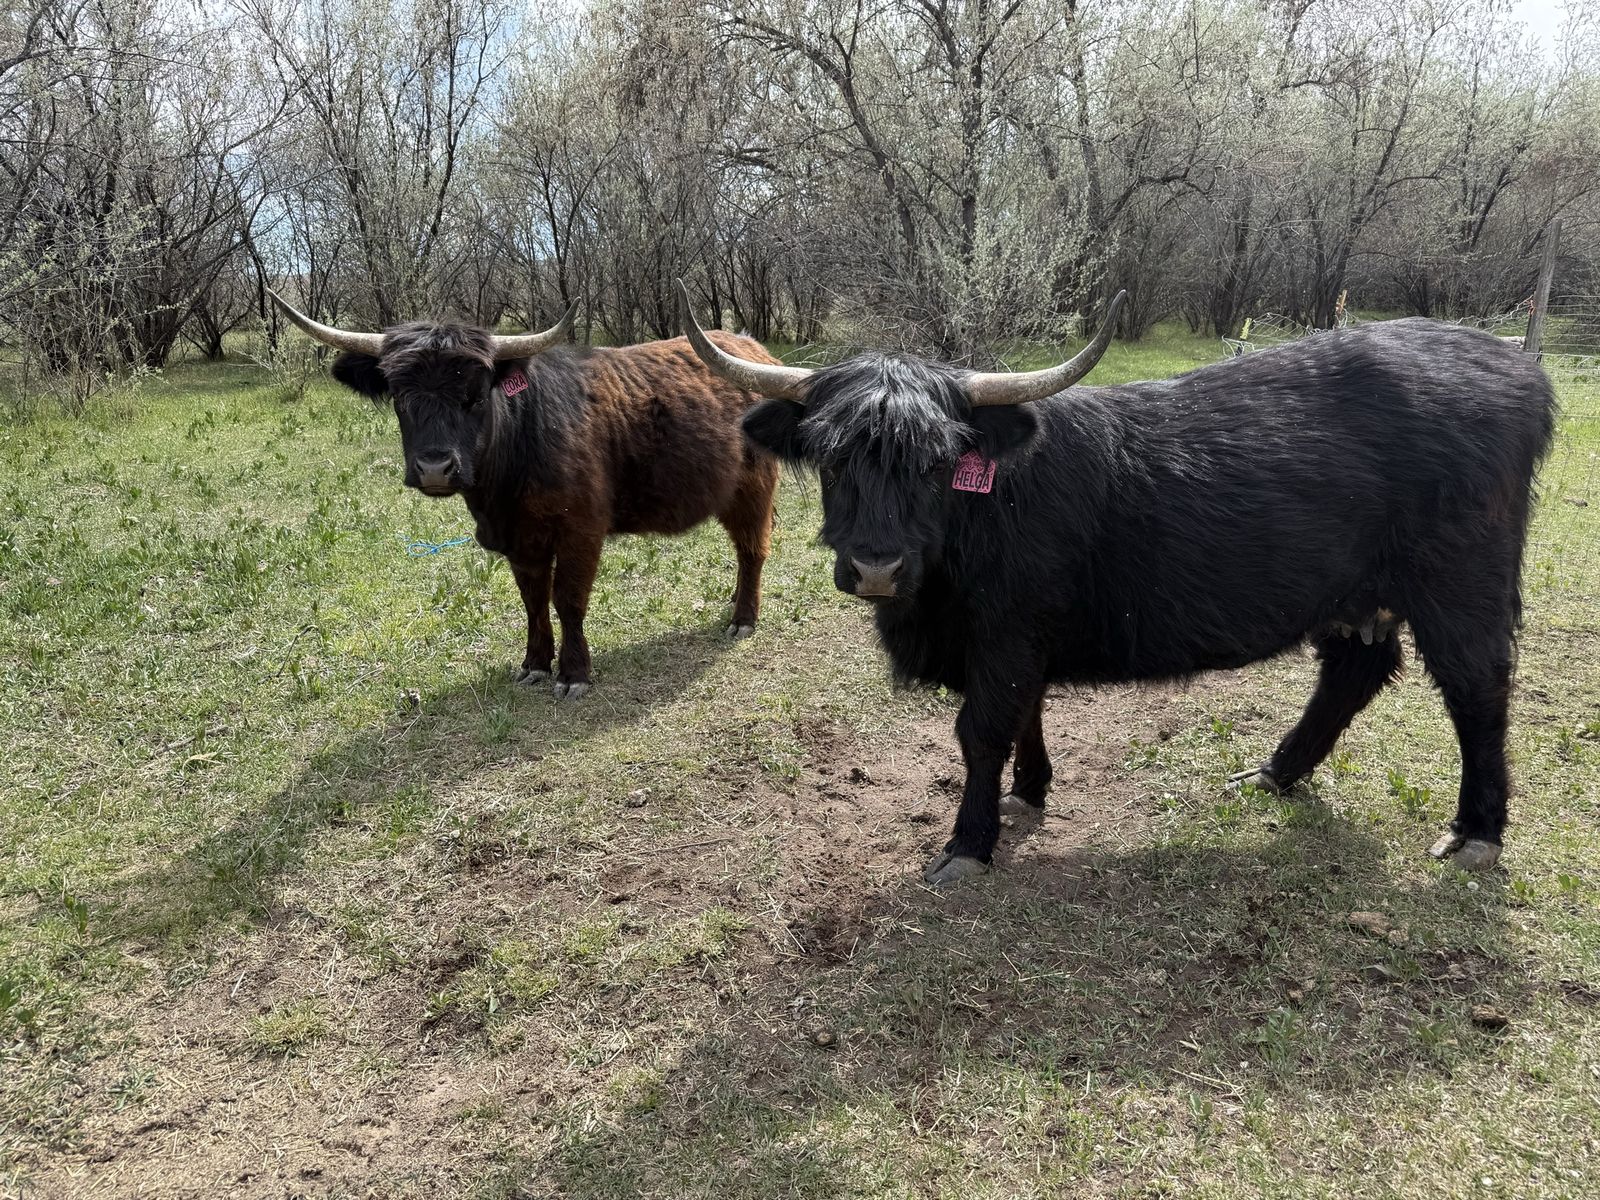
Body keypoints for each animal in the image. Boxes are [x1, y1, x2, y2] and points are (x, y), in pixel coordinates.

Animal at [268, 290, 780, 698]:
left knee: (752, 549)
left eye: (476, 396)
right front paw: (535, 664)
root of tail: (751, 347)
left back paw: (743, 618)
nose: (435, 467)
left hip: (752, 491)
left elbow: (567, 599)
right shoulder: (520, 541)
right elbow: (533, 600)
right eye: (398, 398)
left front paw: (574, 674)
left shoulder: (580, 531)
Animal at [675, 281, 1556, 886]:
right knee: (1355, 670)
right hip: (1356, 594)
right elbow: (1025, 715)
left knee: (1477, 689)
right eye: (832, 459)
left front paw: (968, 844)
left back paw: (1477, 832)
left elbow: (982, 730)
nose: (876, 565)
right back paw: (1275, 773)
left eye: (935, 462)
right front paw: (1030, 792)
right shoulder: (1018, 639)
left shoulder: (1006, 633)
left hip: (1462, 587)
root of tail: (1511, 363)